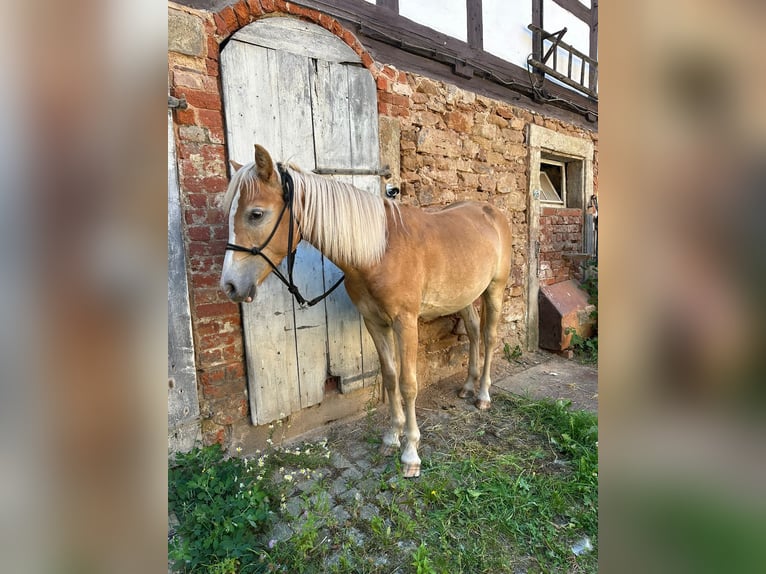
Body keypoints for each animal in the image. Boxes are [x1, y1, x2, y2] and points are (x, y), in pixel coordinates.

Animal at [219, 146, 512, 480]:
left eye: (256, 214)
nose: (229, 285)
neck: (380, 251)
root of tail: (491, 212)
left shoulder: (405, 323)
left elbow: (408, 384)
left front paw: (410, 454)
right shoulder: (374, 322)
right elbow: (390, 377)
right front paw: (391, 438)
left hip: (495, 289)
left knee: (489, 337)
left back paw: (483, 395)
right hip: (463, 295)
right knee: (474, 332)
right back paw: (467, 387)